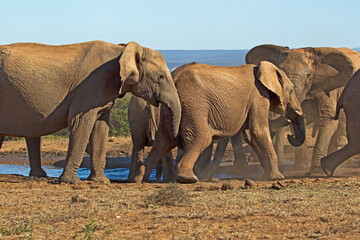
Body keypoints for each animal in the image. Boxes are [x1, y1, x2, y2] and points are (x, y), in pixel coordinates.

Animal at [0, 40, 180, 184]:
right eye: (161, 77)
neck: (120, 49)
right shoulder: (89, 87)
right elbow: (81, 122)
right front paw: (71, 182)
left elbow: (101, 127)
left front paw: (101, 181)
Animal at [134, 61, 306, 183]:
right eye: (291, 90)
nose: (291, 136)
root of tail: (174, 76)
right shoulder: (259, 96)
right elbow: (258, 131)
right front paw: (278, 178)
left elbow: (251, 136)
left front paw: (268, 176)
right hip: (194, 104)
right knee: (202, 138)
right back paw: (189, 179)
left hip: (169, 108)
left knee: (163, 142)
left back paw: (139, 179)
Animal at [246, 45, 360, 175]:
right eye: (281, 74)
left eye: (309, 75)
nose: (290, 136)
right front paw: (299, 168)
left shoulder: (328, 89)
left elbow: (328, 120)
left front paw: (316, 171)